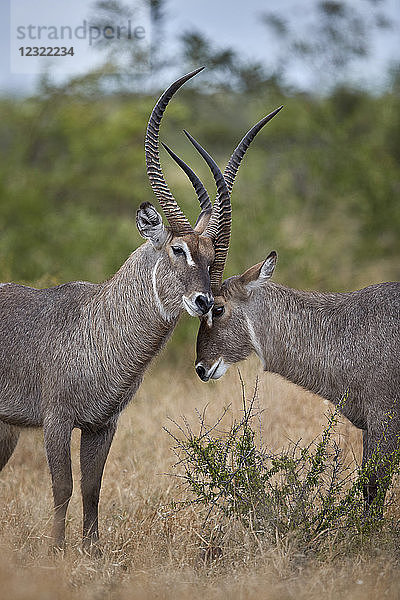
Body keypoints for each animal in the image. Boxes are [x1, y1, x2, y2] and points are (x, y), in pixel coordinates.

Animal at [0, 67, 282, 552]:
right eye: (177, 249)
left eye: (212, 256)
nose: (204, 301)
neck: (95, 324)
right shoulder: (56, 422)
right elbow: (63, 488)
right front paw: (55, 553)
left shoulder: (102, 425)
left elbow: (93, 488)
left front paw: (91, 552)